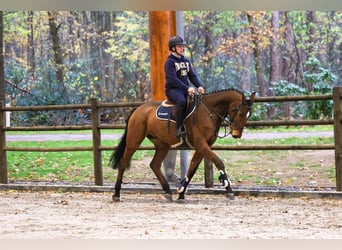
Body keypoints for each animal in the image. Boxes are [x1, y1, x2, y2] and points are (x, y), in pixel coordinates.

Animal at [111, 88, 255, 201]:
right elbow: (219, 162)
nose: (236, 134)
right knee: (123, 163)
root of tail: (139, 109)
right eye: (241, 113)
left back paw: (168, 191)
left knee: (155, 165)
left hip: (162, 145)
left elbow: (192, 169)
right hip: (133, 141)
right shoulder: (202, 145)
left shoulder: (203, 146)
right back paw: (117, 193)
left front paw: (181, 193)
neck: (209, 111)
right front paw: (228, 189)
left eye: (249, 115)